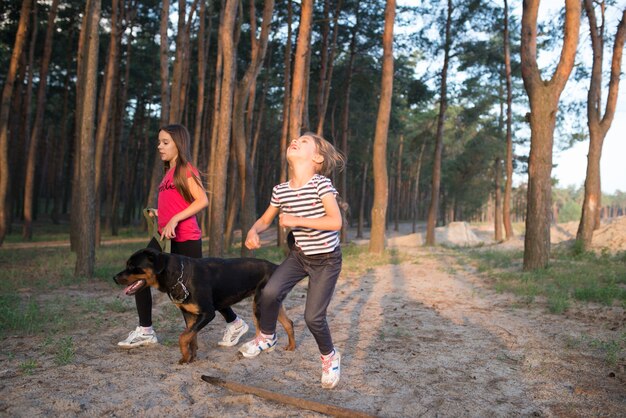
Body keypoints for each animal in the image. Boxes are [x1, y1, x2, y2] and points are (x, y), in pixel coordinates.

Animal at [112, 248, 294, 362]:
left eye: (132, 266)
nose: (114, 277)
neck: (178, 276)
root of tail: (276, 266)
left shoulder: (207, 313)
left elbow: (182, 337)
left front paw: (185, 356)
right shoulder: (190, 315)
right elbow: (191, 336)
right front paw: (190, 357)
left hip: (259, 305)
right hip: (268, 303)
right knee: (288, 323)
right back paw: (290, 347)